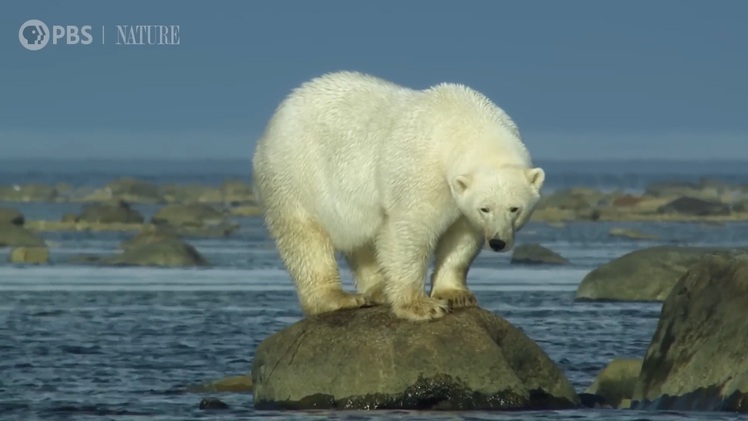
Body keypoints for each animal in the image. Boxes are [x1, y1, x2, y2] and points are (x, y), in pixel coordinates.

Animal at [251, 71, 544, 322]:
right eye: (485, 208)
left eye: (515, 208)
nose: (497, 242)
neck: (467, 123)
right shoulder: (423, 170)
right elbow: (410, 230)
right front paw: (422, 306)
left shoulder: (461, 200)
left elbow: (460, 238)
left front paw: (456, 295)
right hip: (296, 174)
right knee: (304, 238)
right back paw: (339, 298)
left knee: (365, 240)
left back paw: (379, 289)